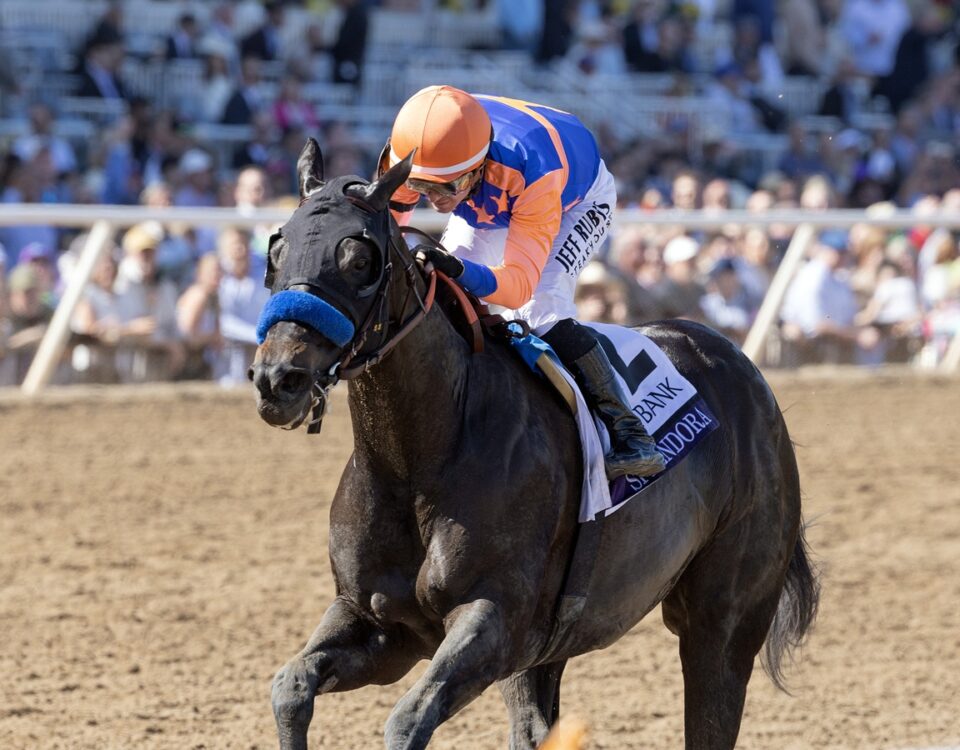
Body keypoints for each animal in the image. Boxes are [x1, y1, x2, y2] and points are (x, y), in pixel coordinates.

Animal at [249, 138, 819, 750]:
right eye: (276, 250)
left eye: (359, 260)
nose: (278, 379)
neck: (419, 457)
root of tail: (739, 365)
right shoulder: (380, 623)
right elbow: (290, 686)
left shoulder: (494, 621)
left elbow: (406, 720)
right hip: (549, 650)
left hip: (722, 620)